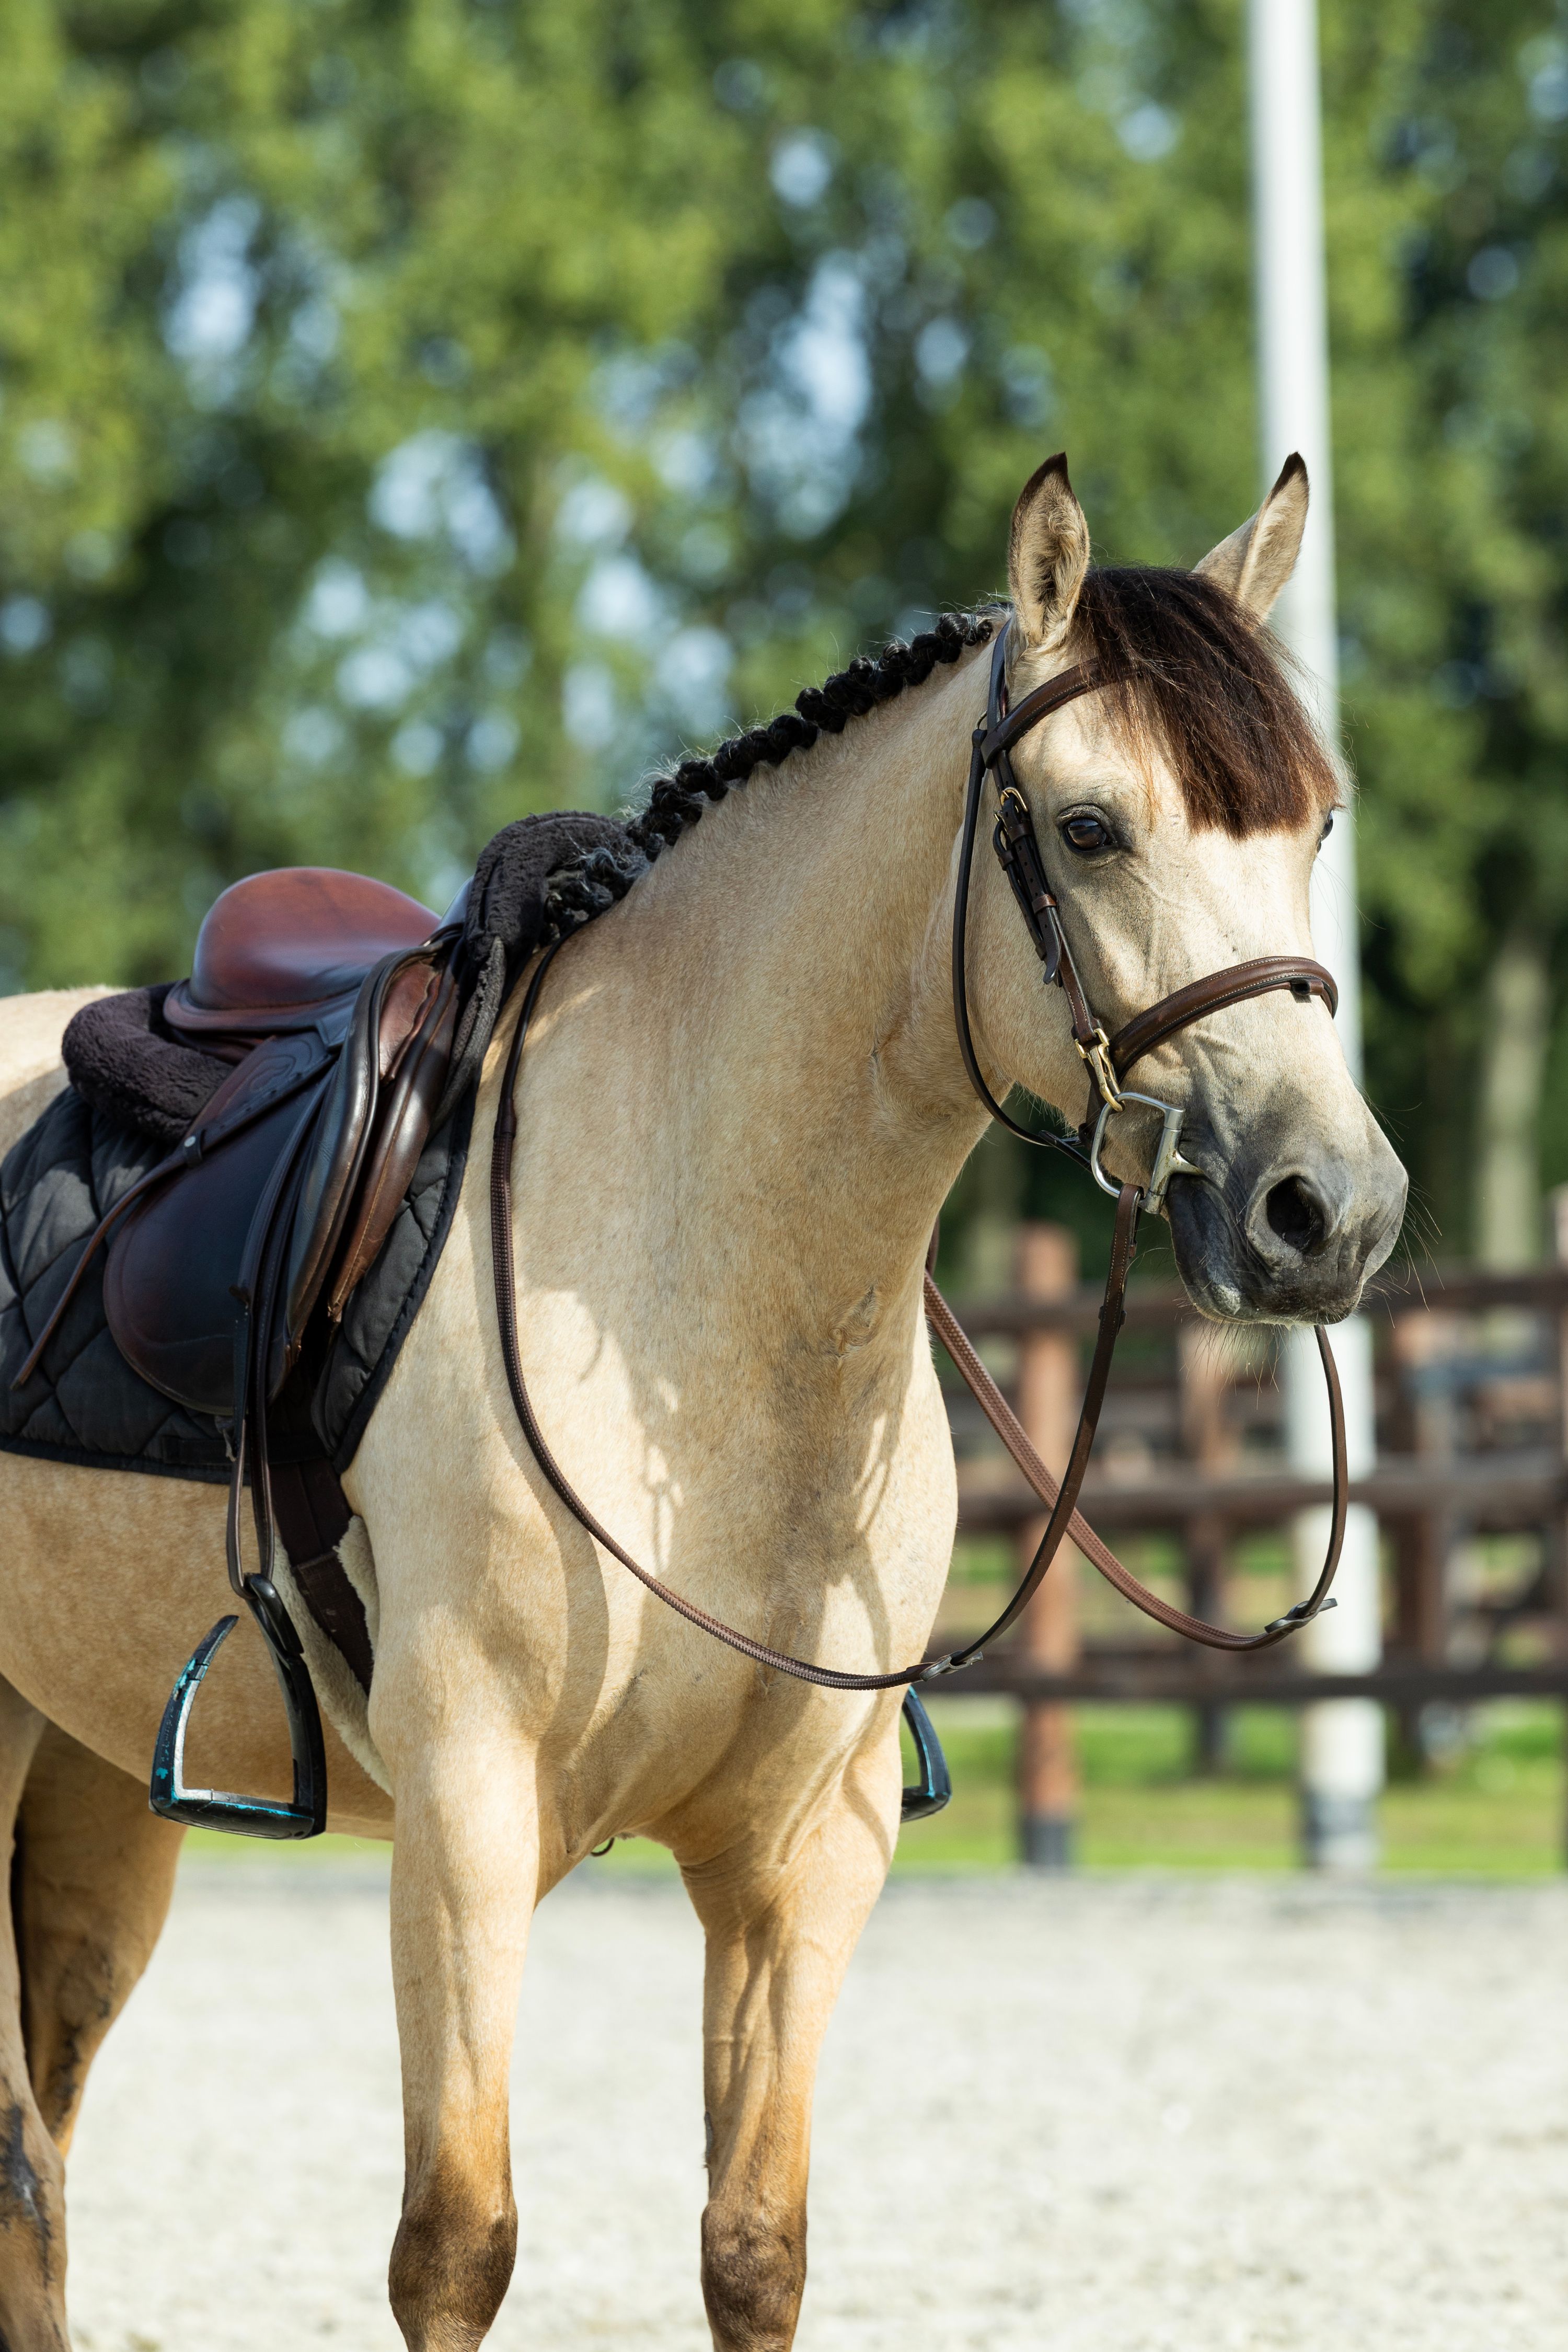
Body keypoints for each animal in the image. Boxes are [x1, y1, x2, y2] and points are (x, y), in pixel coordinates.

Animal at [0, 452, 1406, 2350]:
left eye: (1316, 825)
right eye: (1091, 827)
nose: (1328, 1210)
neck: (711, 1305)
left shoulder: (803, 1857)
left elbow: (754, 2245)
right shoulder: (466, 1816)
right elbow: (457, 2243)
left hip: (77, 1786)